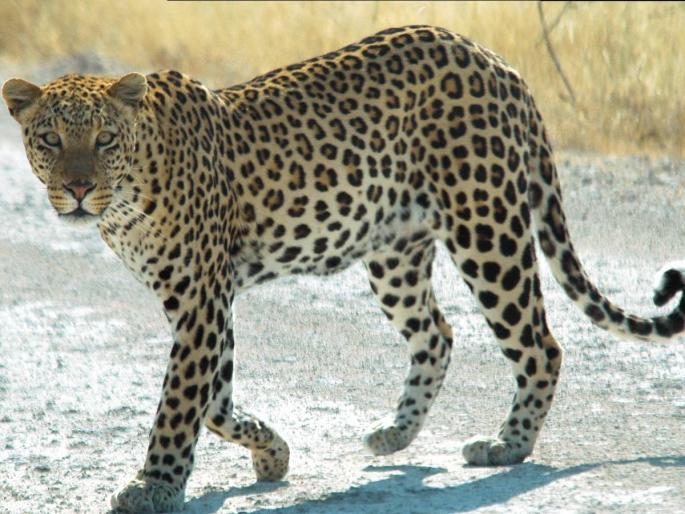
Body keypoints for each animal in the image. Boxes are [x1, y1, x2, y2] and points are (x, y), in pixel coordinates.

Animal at [3, 25, 684, 514]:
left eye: (104, 140)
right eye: (50, 141)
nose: (78, 190)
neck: (127, 195)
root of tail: (495, 60)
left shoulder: (200, 299)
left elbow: (180, 403)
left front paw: (155, 486)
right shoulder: (202, 301)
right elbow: (214, 400)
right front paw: (272, 453)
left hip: (487, 228)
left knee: (540, 342)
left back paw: (507, 445)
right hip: (394, 253)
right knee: (438, 333)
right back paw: (395, 434)